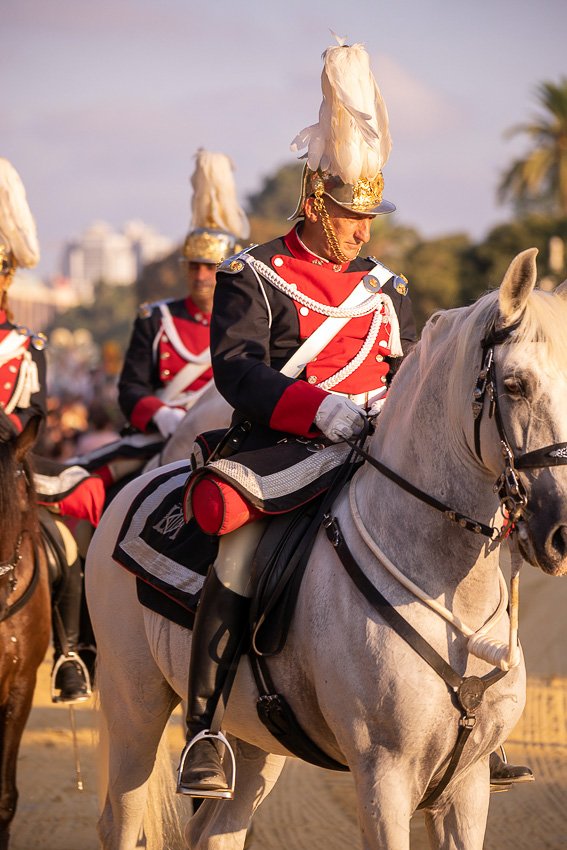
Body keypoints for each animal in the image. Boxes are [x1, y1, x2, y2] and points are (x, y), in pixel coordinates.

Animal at [85, 250, 567, 848]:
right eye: (516, 385)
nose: (561, 531)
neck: (447, 587)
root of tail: (140, 483)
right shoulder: (382, 775)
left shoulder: (468, 784)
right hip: (134, 708)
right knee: (120, 817)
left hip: (256, 740)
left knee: (215, 831)